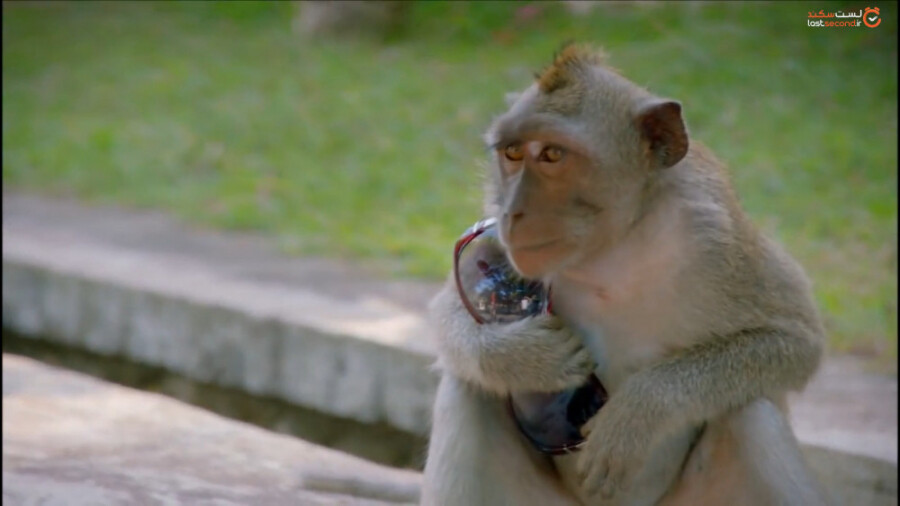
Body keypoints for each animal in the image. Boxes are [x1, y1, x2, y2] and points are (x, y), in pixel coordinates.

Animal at [422, 44, 828, 506]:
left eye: (552, 155)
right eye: (512, 152)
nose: (512, 213)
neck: (610, 247)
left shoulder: (717, 235)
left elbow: (795, 338)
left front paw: (639, 411)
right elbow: (449, 309)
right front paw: (525, 357)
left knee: (750, 414)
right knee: (468, 389)